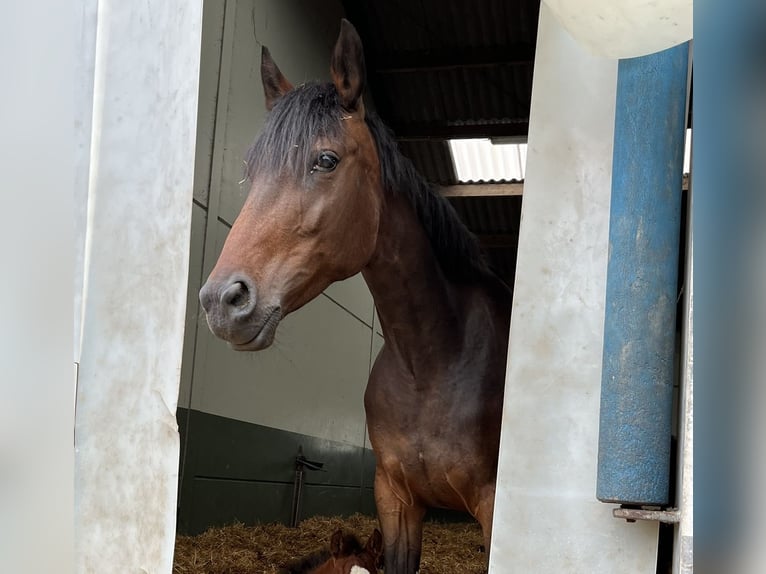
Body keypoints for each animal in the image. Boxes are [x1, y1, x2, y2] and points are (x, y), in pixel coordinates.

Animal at [201, 19, 516, 574]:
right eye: (250, 170)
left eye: (325, 160)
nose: (223, 300)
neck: (431, 362)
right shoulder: (396, 502)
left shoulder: (494, 506)